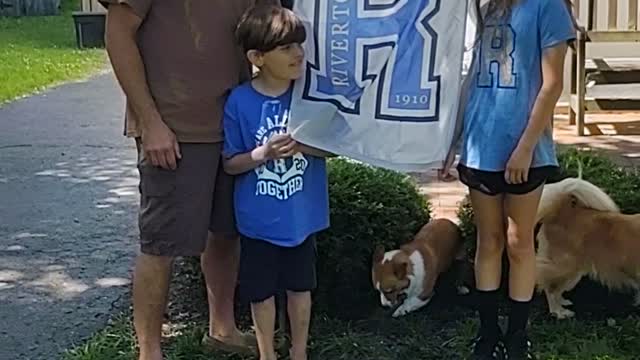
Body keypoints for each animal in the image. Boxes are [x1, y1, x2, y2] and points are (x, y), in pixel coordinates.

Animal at [536, 177, 640, 318]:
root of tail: (562, 210)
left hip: (573, 271)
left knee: (554, 287)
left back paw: (563, 302)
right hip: (566, 267)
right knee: (551, 288)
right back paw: (559, 312)